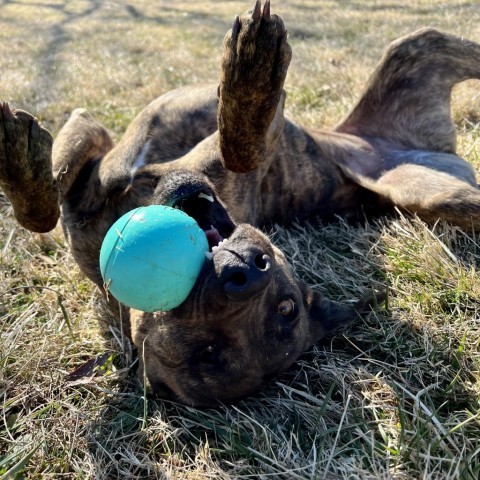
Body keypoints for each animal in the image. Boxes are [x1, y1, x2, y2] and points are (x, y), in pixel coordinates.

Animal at [0, 0, 480, 404]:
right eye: (209, 352)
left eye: (285, 308)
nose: (247, 272)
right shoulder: (89, 140)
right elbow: (45, 203)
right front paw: (21, 156)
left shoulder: (242, 155)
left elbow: (242, 146)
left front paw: (251, 73)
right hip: (418, 90)